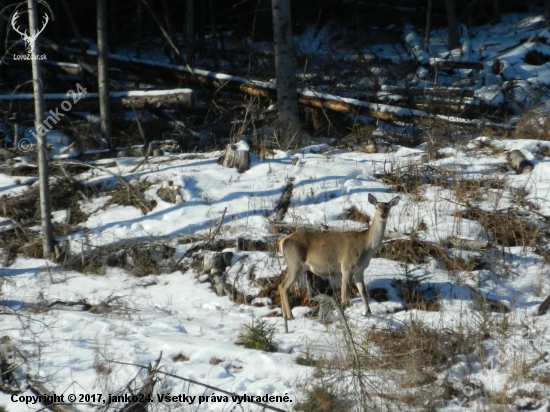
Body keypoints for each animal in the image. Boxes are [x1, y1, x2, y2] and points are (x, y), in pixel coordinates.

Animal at [280, 194, 402, 322]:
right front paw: (344, 315)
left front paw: (368, 312)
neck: (367, 247)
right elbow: (344, 295)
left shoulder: (360, 270)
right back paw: (290, 316)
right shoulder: (346, 266)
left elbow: (362, 291)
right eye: (376, 207)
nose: (383, 215)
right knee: (284, 287)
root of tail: (282, 241)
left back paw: (284, 315)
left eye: (388, 207)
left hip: (299, 266)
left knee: (281, 286)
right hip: (295, 263)